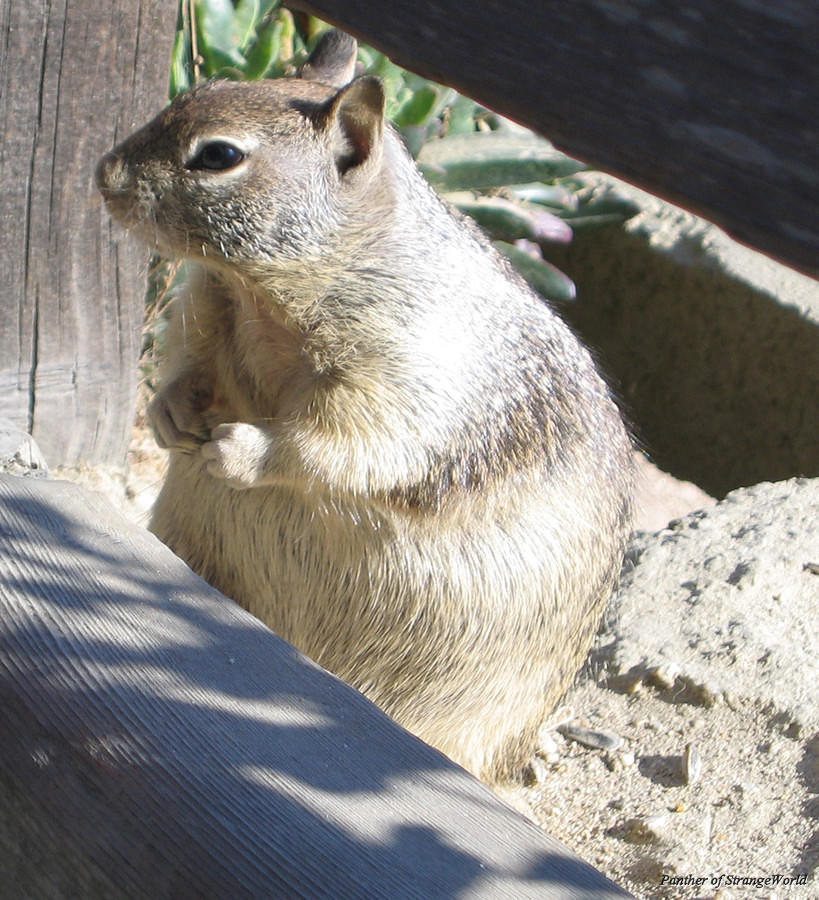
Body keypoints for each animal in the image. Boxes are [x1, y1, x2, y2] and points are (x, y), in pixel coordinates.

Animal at [96, 30, 634, 783]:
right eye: (194, 92)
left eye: (219, 156)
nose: (103, 174)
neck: (260, 296)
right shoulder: (203, 305)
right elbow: (190, 363)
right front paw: (170, 412)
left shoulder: (405, 372)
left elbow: (341, 442)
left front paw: (238, 449)